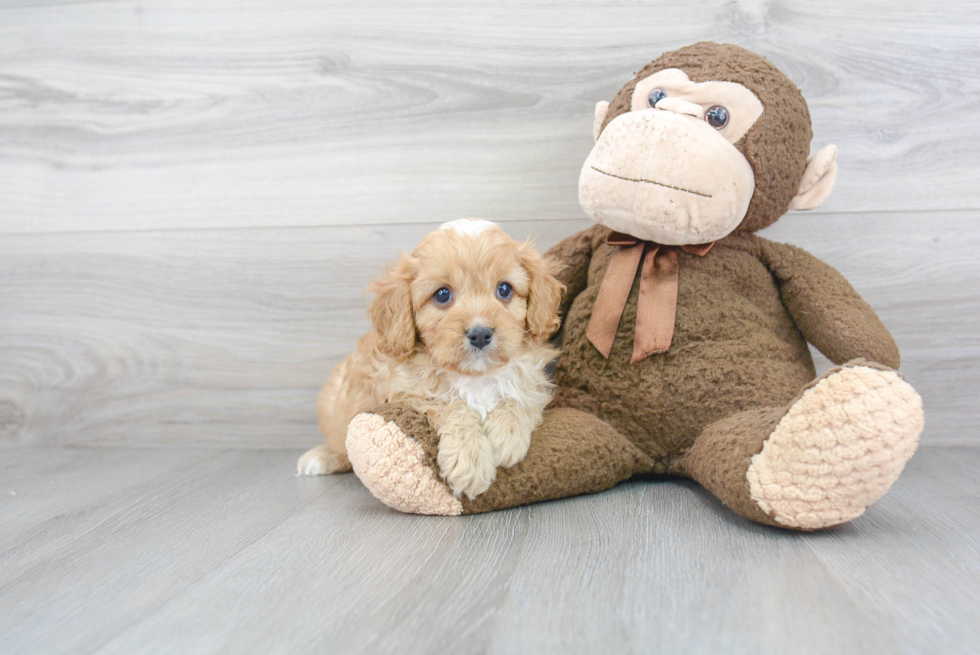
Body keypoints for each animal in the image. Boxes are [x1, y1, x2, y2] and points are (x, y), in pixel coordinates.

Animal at [294, 218, 564, 500]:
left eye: (504, 289)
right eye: (442, 294)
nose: (480, 334)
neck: (475, 375)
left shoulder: (532, 378)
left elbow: (518, 396)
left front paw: (508, 433)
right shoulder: (406, 391)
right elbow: (451, 404)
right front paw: (469, 459)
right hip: (334, 399)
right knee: (338, 440)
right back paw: (320, 457)